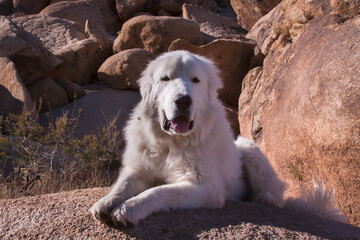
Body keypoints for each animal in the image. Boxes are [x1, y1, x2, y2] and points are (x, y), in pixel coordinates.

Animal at [90, 50, 346, 227]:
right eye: (165, 79)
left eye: (195, 80)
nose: (183, 100)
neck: (171, 143)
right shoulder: (140, 169)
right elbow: (122, 185)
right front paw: (104, 203)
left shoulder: (207, 188)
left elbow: (159, 192)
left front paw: (128, 210)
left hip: (248, 150)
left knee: (276, 193)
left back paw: (265, 199)